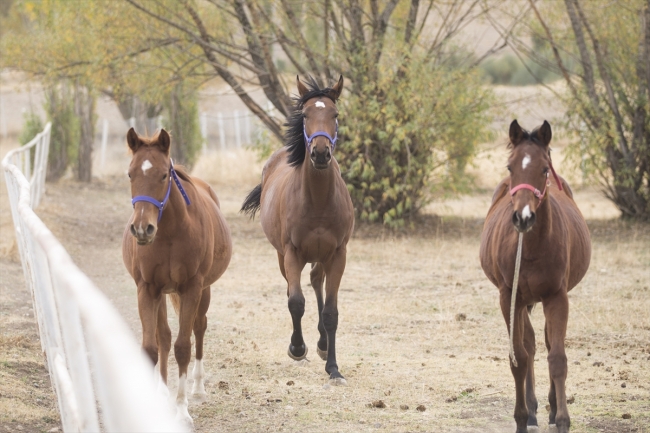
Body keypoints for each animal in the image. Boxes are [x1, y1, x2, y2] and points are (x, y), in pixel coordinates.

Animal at [123, 127, 232, 422]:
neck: (170, 232)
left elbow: (183, 347)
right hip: (160, 293)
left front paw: (182, 410)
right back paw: (162, 392)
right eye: (130, 174)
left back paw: (198, 388)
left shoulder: (191, 288)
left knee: (199, 328)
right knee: (164, 336)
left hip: (204, 291)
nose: (142, 229)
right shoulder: (147, 289)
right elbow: (152, 347)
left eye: (163, 175)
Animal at [240, 76, 354, 384]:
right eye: (305, 115)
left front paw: (334, 368)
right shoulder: (291, 254)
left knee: (316, 282)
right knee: (296, 289)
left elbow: (331, 311)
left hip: (321, 256)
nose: (320, 153)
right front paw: (297, 348)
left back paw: (323, 345)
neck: (318, 201)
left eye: (335, 115)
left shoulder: (337, 255)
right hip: (283, 256)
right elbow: (296, 302)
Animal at [478, 119, 588, 432]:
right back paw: (533, 409)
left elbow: (558, 358)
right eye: (510, 166)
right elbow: (519, 358)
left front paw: (562, 419)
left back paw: (549, 408)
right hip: (522, 301)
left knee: (548, 343)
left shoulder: (557, 298)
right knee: (528, 345)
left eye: (544, 169)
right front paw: (521, 418)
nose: (523, 218)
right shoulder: (509, 298)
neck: (531, 247)